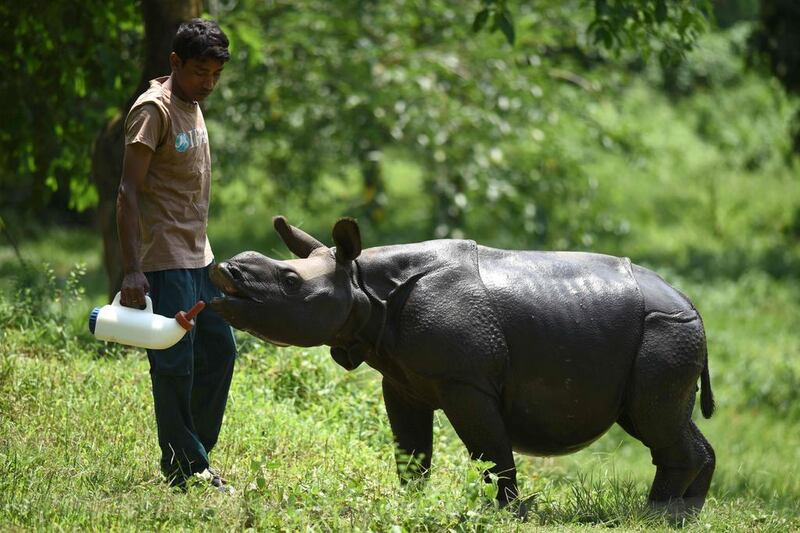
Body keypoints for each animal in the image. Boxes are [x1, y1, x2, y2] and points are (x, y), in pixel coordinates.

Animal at [209, 215, 716, 516]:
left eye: (290, 281)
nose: (226, 271)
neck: (364, 285)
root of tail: (692, 304)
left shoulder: (466, 382)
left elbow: (490, 452)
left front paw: (505, 514)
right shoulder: (401, 380)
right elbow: (411, 451)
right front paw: (410, 505)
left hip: (665, 329)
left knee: (655, 420)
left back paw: (655, 517)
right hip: (669, 332)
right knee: (665, 419)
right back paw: (686, 517)